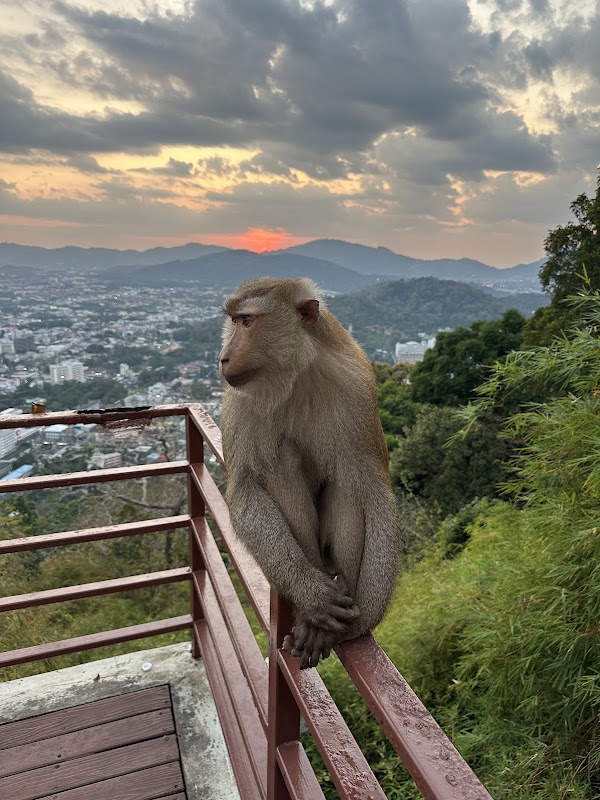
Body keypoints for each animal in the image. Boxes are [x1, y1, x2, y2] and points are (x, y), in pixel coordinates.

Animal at [219, 277, 400, 668]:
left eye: (247, 321)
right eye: (234, 321)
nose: (223, 356)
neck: (295, 373)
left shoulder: (356, 388)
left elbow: (374, 490)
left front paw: (362, 620)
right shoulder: (240, 399)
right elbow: (245, 490)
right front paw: (312, 593)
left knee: (349, 480)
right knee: (280, 459)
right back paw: (309, 608)